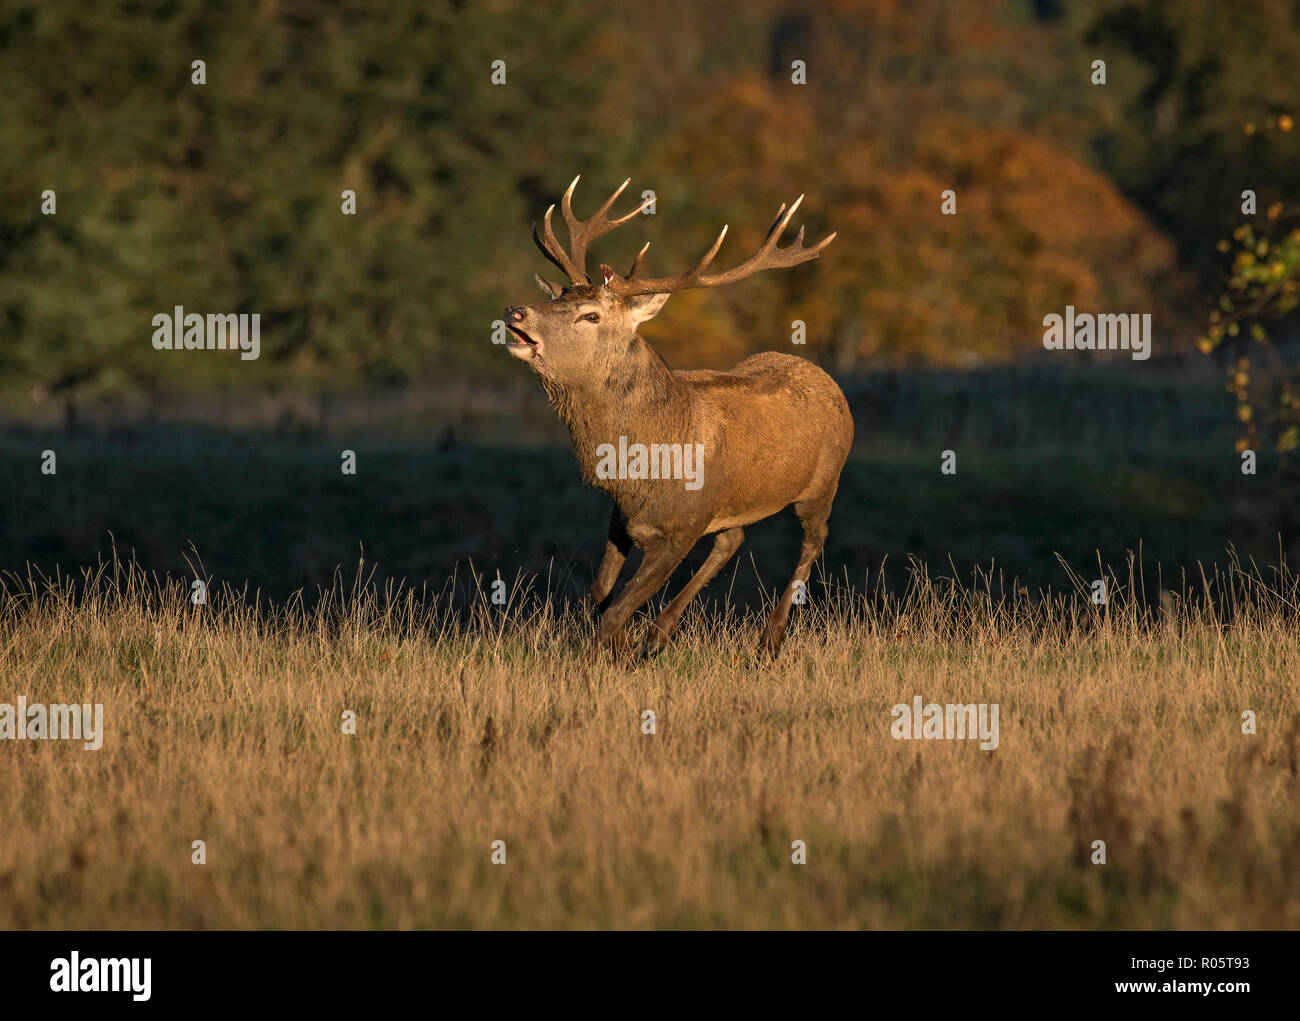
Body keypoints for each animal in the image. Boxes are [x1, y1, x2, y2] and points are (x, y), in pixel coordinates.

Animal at [504, 176, 853, 662]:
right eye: (561, 296)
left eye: (591, 315)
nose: (516, 312)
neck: (641, 465)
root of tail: (826, 378)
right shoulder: (623, 516)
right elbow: (600, 593)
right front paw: (632, 643)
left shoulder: (684, 526)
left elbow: (615, 610)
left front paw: (608, 657)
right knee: (732, 540)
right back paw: (660, 633)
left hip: (823, 481)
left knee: (814, 538)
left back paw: (770, 639)